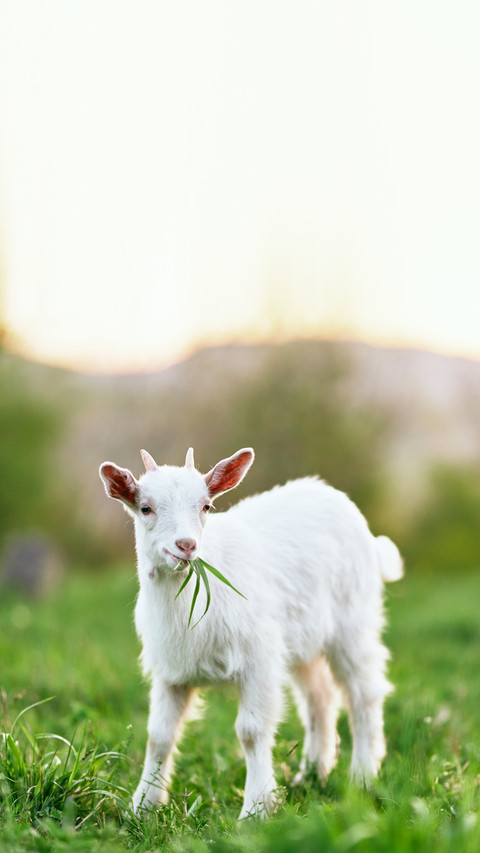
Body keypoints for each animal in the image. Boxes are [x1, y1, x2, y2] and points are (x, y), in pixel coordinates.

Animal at [99, 447, 403, 818]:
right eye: (145, 507)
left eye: (206, 506)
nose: (186, 545)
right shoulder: (171, 671)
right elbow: (159, 735)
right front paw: (142, 805)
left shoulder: (258, 660)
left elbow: (251, 731)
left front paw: (257, 809)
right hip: (302, 640)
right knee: (319, 697)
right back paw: (311, 774)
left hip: (352, 622)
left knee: (363, 693)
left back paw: (362, 776)